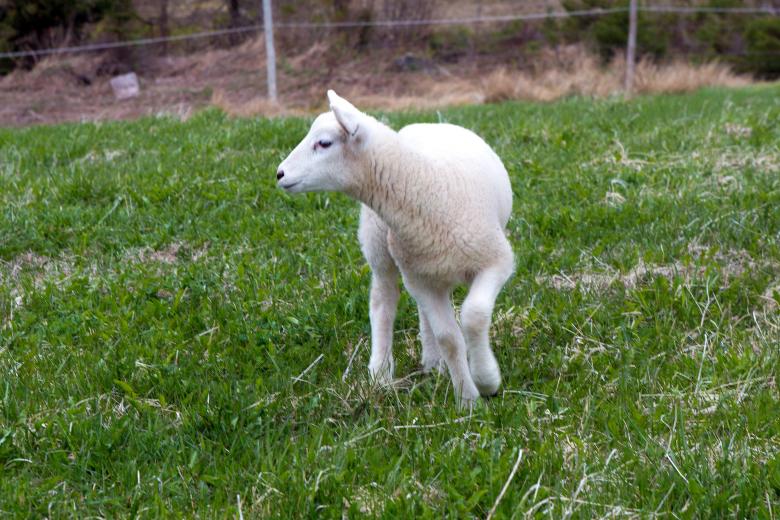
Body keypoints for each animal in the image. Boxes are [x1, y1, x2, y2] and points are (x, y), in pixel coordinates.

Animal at [276, 90, 514, 406]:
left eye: (324, 143)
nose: (279, 173)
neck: (427, 188)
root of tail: (426, 124)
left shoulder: (496, 260)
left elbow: (473, 316)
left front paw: (486, 380)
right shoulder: (419, 279)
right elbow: (449, 338)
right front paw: (468, 399)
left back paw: (433, 362)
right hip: (379, 245)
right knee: (383, 302)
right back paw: (380, 371)